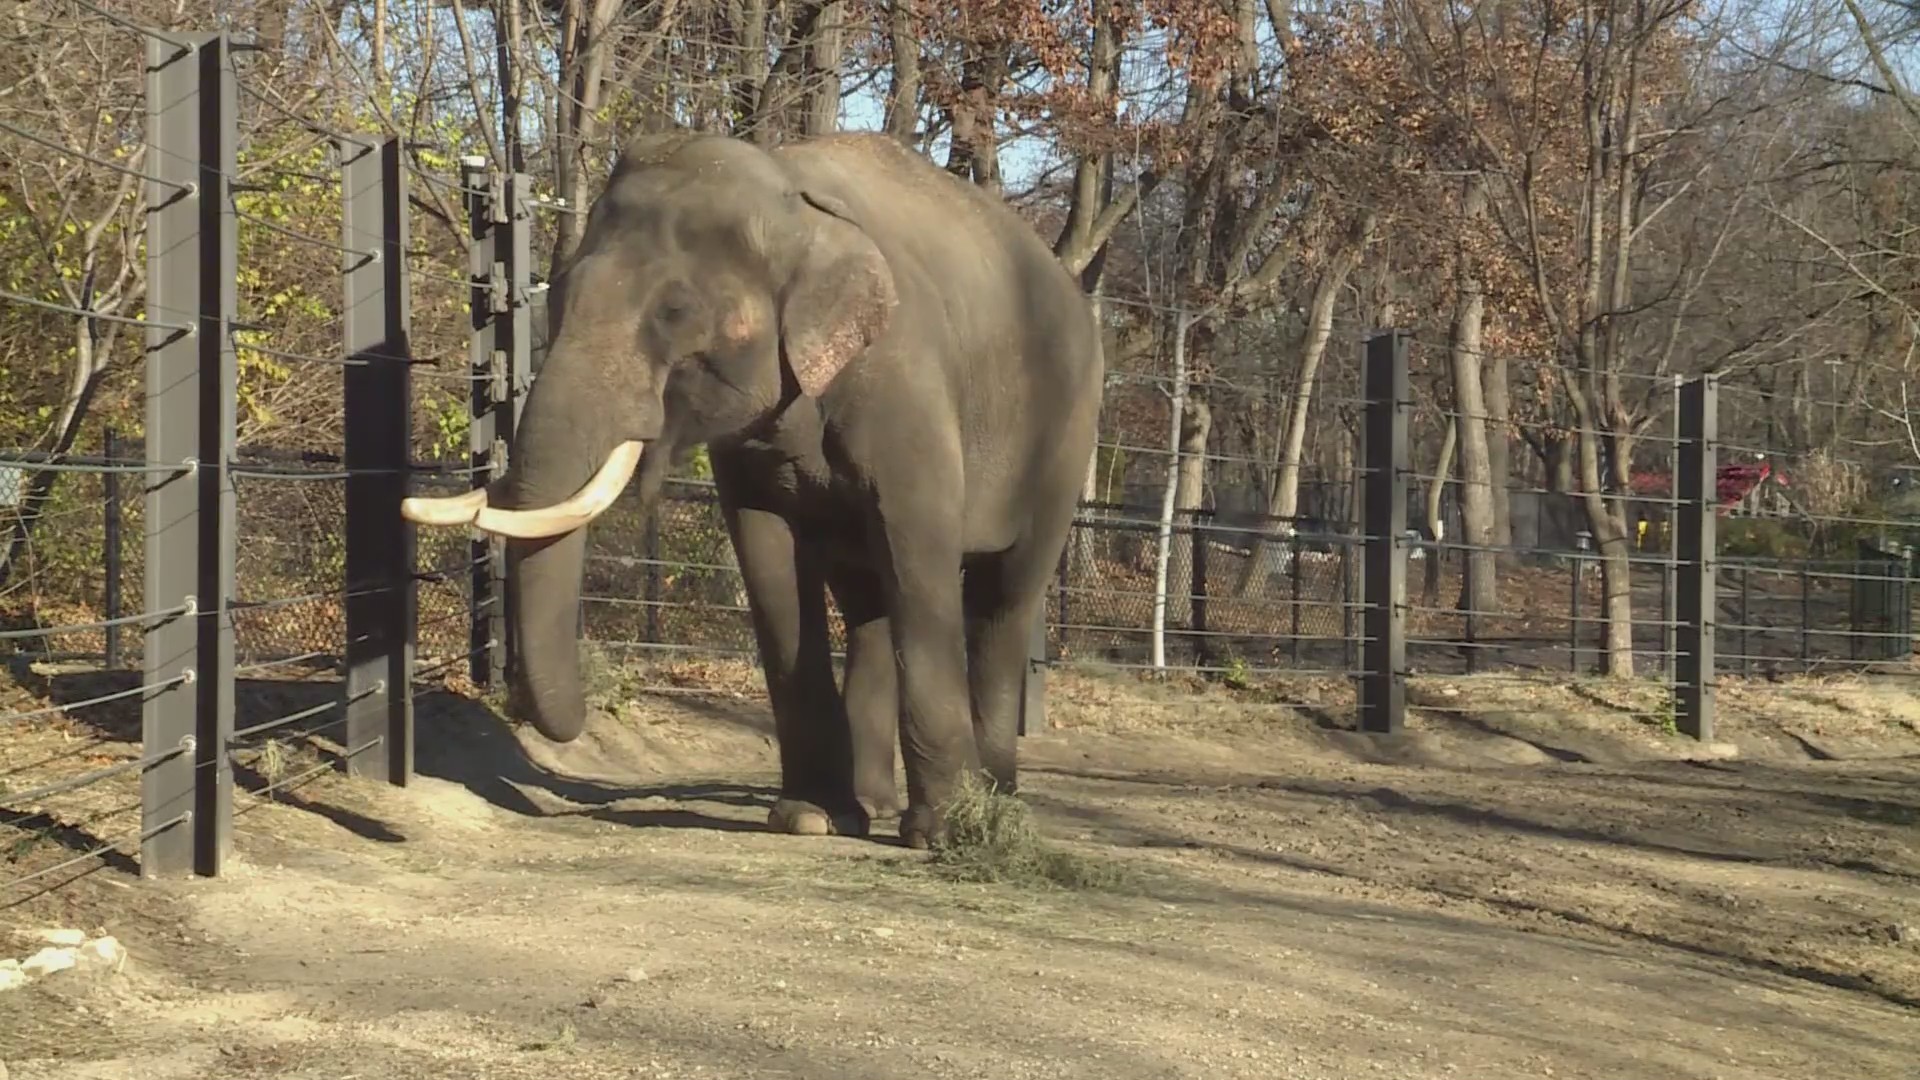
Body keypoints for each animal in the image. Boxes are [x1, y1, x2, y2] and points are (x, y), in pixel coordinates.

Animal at [401, 130, 1104, 850]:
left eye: (675, 312)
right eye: (559, 295)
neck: (791, 196)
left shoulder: (907, 381)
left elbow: (916, 549)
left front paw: (937, 836)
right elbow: (771, 561)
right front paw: (809, 818)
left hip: (1066, 438)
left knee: (1002, 602)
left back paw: (994, 808)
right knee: (870, 603)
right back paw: (871, 806)